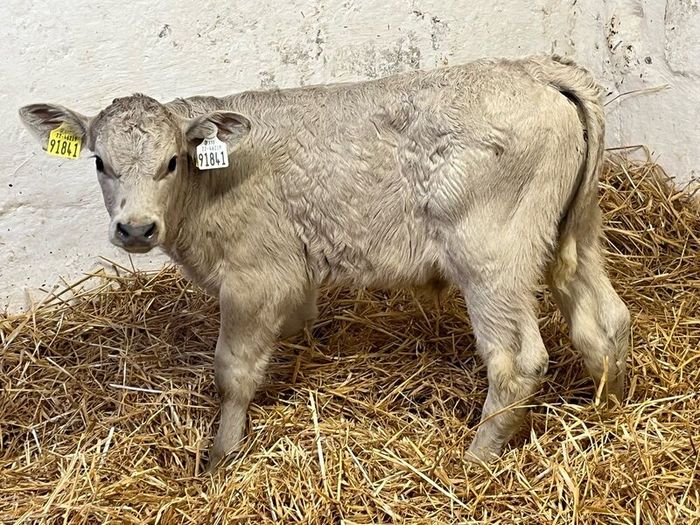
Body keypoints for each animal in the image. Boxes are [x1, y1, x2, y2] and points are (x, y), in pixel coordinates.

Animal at [19, 55, 630, 471]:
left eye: (172, 161)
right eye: (99, 161)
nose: (136, 229)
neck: (210, 183)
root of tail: (534, 70)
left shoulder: (255, 277)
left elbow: (232, 372)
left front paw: (220, 458)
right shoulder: (292, 276)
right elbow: (291, 332)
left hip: (491, 256)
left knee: (517, 360)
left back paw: (474, 459)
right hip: (575, 234)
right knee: (605, 321)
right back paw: (611, 408)